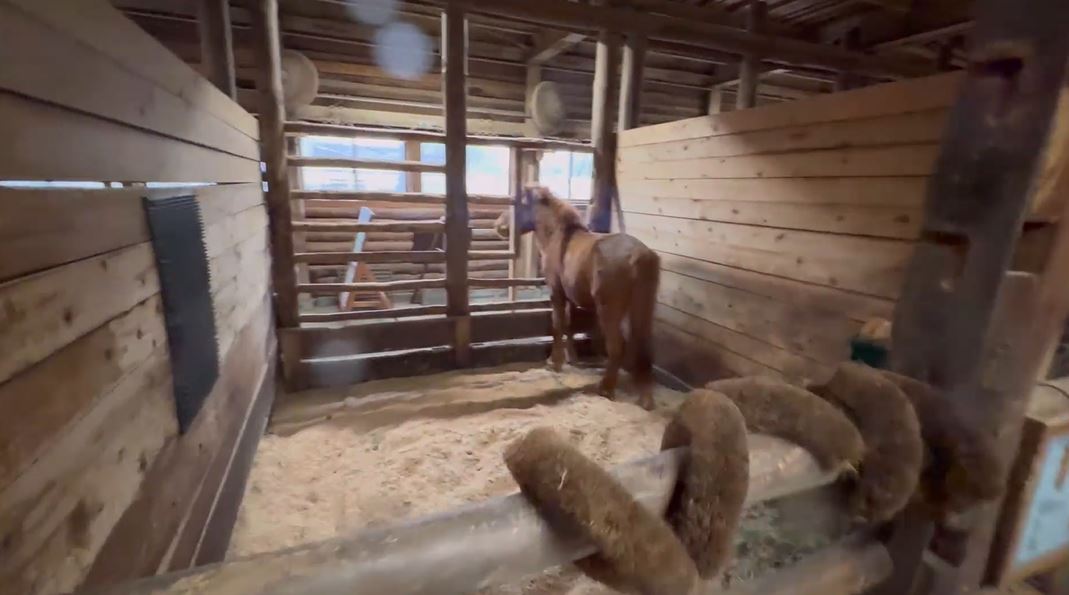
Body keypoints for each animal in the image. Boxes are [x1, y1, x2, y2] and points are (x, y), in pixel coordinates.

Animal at [508, 186, 661, 410]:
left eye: (518, 203)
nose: (499, 226)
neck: (557, 236)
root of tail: (641, 255)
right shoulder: (570, 298)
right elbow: (570, 325)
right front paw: (571, 358)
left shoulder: (557, 293)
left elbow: (558, 325)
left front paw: (554, 362)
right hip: (642, 309)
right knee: (643, 345)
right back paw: (645, 397)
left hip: (609, 310)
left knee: (617, 346)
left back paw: (606, 389)